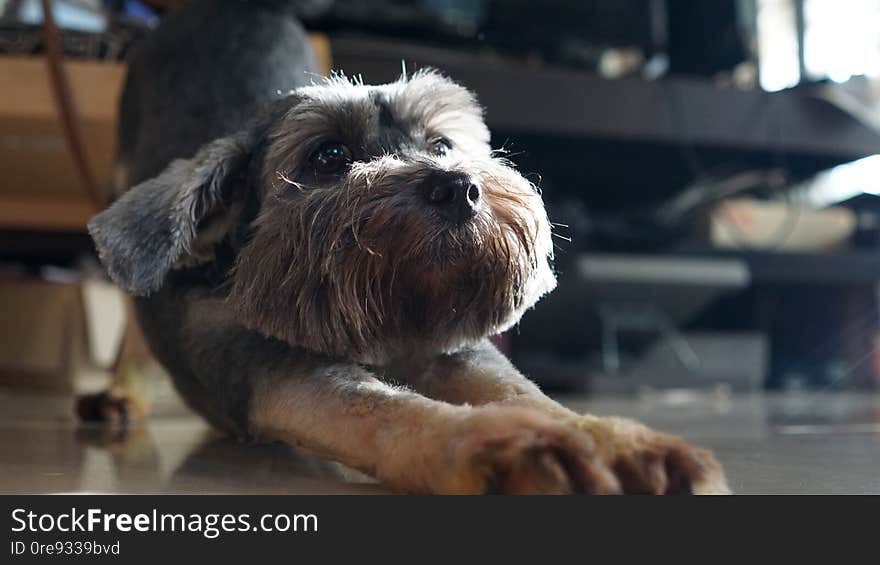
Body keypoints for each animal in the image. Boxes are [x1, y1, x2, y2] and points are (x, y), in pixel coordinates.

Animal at [87, 0, 728, 492]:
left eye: (442, 144)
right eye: (329, 157)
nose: (460, 188)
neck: (389, 319)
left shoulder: (450, 349)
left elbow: (527, 393)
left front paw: (618, 440)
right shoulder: (274, 366)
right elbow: (384, 408)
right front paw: (504, 447)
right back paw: (119, 394)